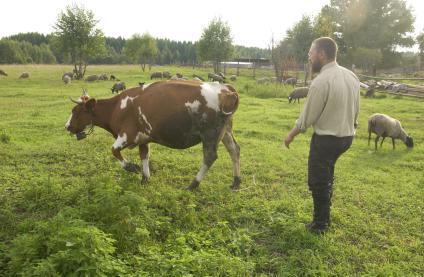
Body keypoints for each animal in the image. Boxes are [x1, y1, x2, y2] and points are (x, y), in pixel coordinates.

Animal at [64, 80, 240, 190]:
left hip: (210, 134)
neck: (116, 108)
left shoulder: (127, 135)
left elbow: (114, 151)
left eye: (77, 112)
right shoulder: (143, 139)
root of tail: (227, 89)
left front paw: (132, 167)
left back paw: (193, 185)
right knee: (234, 150)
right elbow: (144, 157)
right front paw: (145, 179)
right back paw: (236, 182)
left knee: (210, 157)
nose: (67, 126)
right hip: (225, 131)